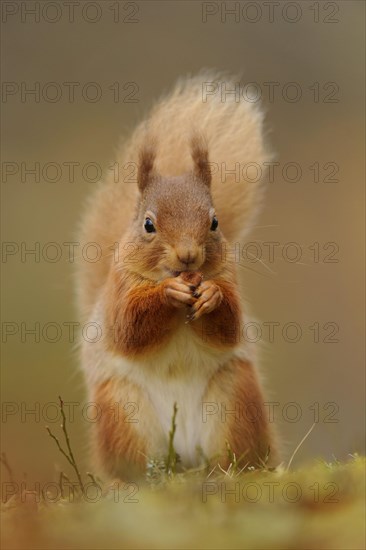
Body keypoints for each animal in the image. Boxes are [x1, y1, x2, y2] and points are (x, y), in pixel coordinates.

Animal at [76, 72, 278, 478]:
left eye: (214, 222)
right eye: (148, 224)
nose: (188, 256)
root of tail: (184, 456)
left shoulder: (229, 276)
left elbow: (229, 325)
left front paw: (212, 297)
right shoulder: (119, 289)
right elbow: (128, 328)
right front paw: (167, 294)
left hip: (234, 398)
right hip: (122, 411)